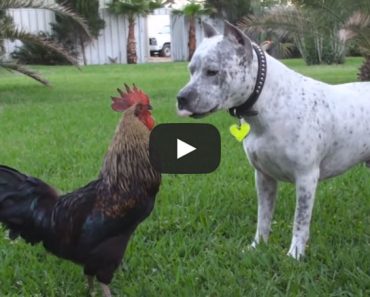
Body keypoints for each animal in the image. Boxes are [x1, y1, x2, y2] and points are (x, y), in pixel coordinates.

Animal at [176, 20, 370, 258]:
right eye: (191, 70)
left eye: (212, 72)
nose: (181, 98)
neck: (271, 103)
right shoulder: (263, 177)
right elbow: (264, 217)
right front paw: (258, 246)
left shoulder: (306, 178)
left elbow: (300, 220)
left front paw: (295, 254)